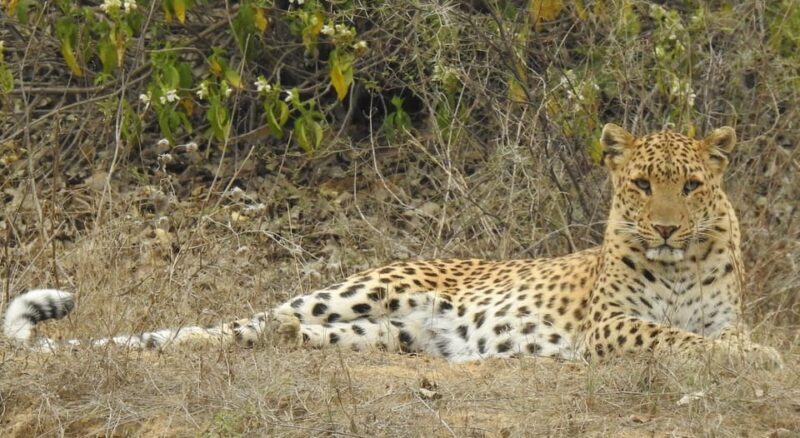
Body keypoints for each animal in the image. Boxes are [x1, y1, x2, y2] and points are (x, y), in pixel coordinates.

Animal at [3, 123, 783, 368]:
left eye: (690, 186)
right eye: (643, 185)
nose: (666, 227)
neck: (678, 265)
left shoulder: (721, 314)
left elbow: (715, 335)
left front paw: (757, 353)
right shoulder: (612, 324)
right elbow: (675, 337)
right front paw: (763, 359)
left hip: (378, 337)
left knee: (264, 336)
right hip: (356, 292)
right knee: (247, 323)